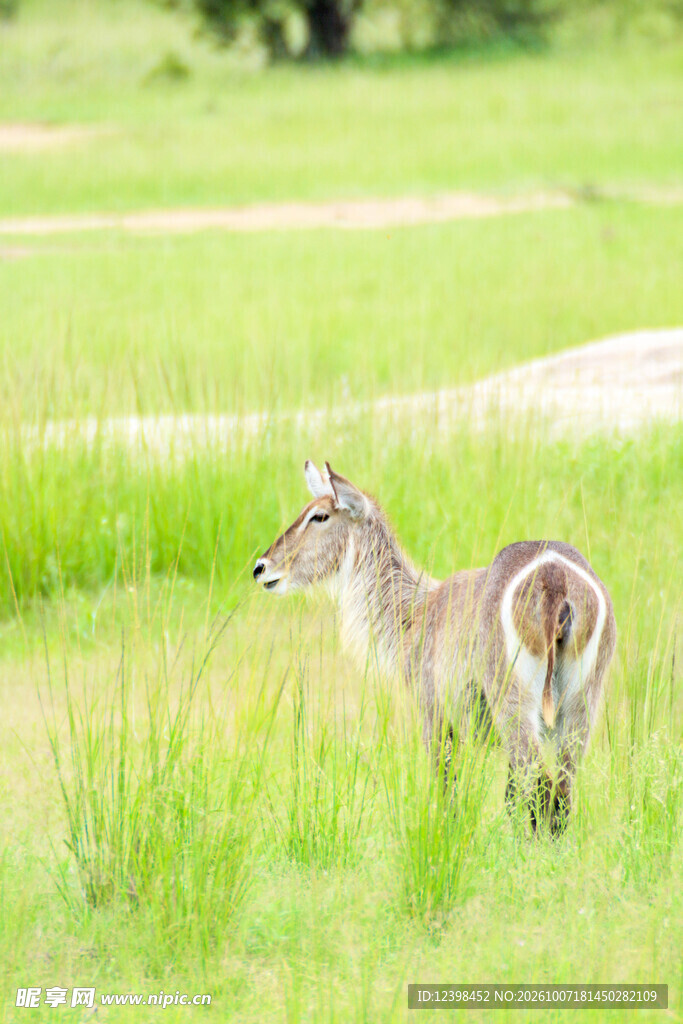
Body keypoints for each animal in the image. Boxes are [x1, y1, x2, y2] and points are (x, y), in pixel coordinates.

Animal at [253, 461, 616, 834]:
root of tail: (554, 576)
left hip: (514, 701)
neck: (417, 611)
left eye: (320, 516)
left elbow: (447, 788)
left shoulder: (433, 711)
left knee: (537, 783)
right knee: (560, 791)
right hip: (580, 705)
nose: (261, 567)